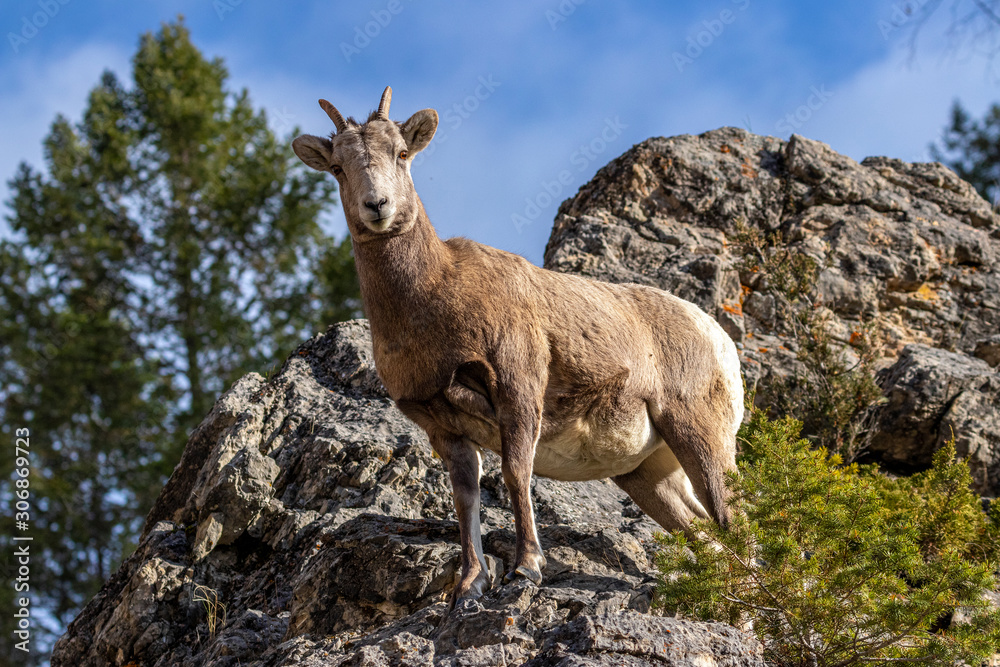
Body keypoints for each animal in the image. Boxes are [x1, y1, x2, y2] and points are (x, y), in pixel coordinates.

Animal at [292, 86, 743, 604]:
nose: (377, 206)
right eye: (338, 168)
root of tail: (719, 341)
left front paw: (526, 568)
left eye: (402, 153)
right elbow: (465, 497)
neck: (434, 294)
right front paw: (470, 585)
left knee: (738, 528)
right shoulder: (444, 429)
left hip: (700, 439)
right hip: (649, 476)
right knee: (711, 540)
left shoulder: (517, 389)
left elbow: (515, 473)